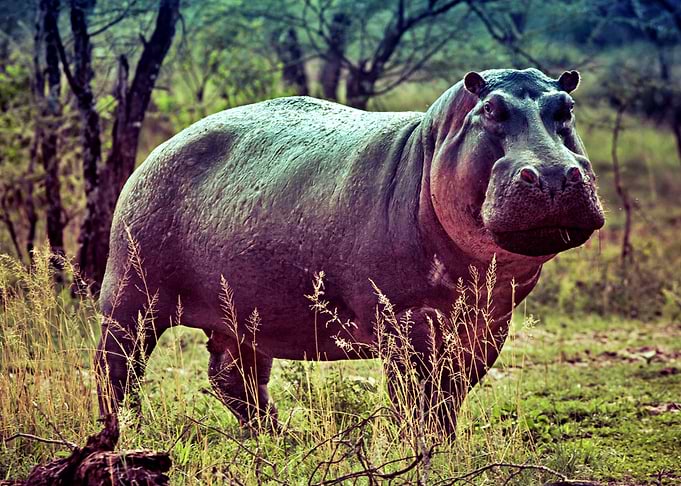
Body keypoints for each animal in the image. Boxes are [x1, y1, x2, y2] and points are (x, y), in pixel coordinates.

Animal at [96, 68, 604, 435]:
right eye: (491, 109)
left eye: (567, 108)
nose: (554, 174)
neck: (430, 147)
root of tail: (162, 146)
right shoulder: (405, 322)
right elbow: (414, 400)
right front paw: (417, 452)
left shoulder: (487, 325)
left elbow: (448, 399)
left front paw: (442, 446)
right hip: (131, 296)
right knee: (116, 368)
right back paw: (123, 434)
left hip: (241, 316)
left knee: (234, 377)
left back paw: (279, 439)